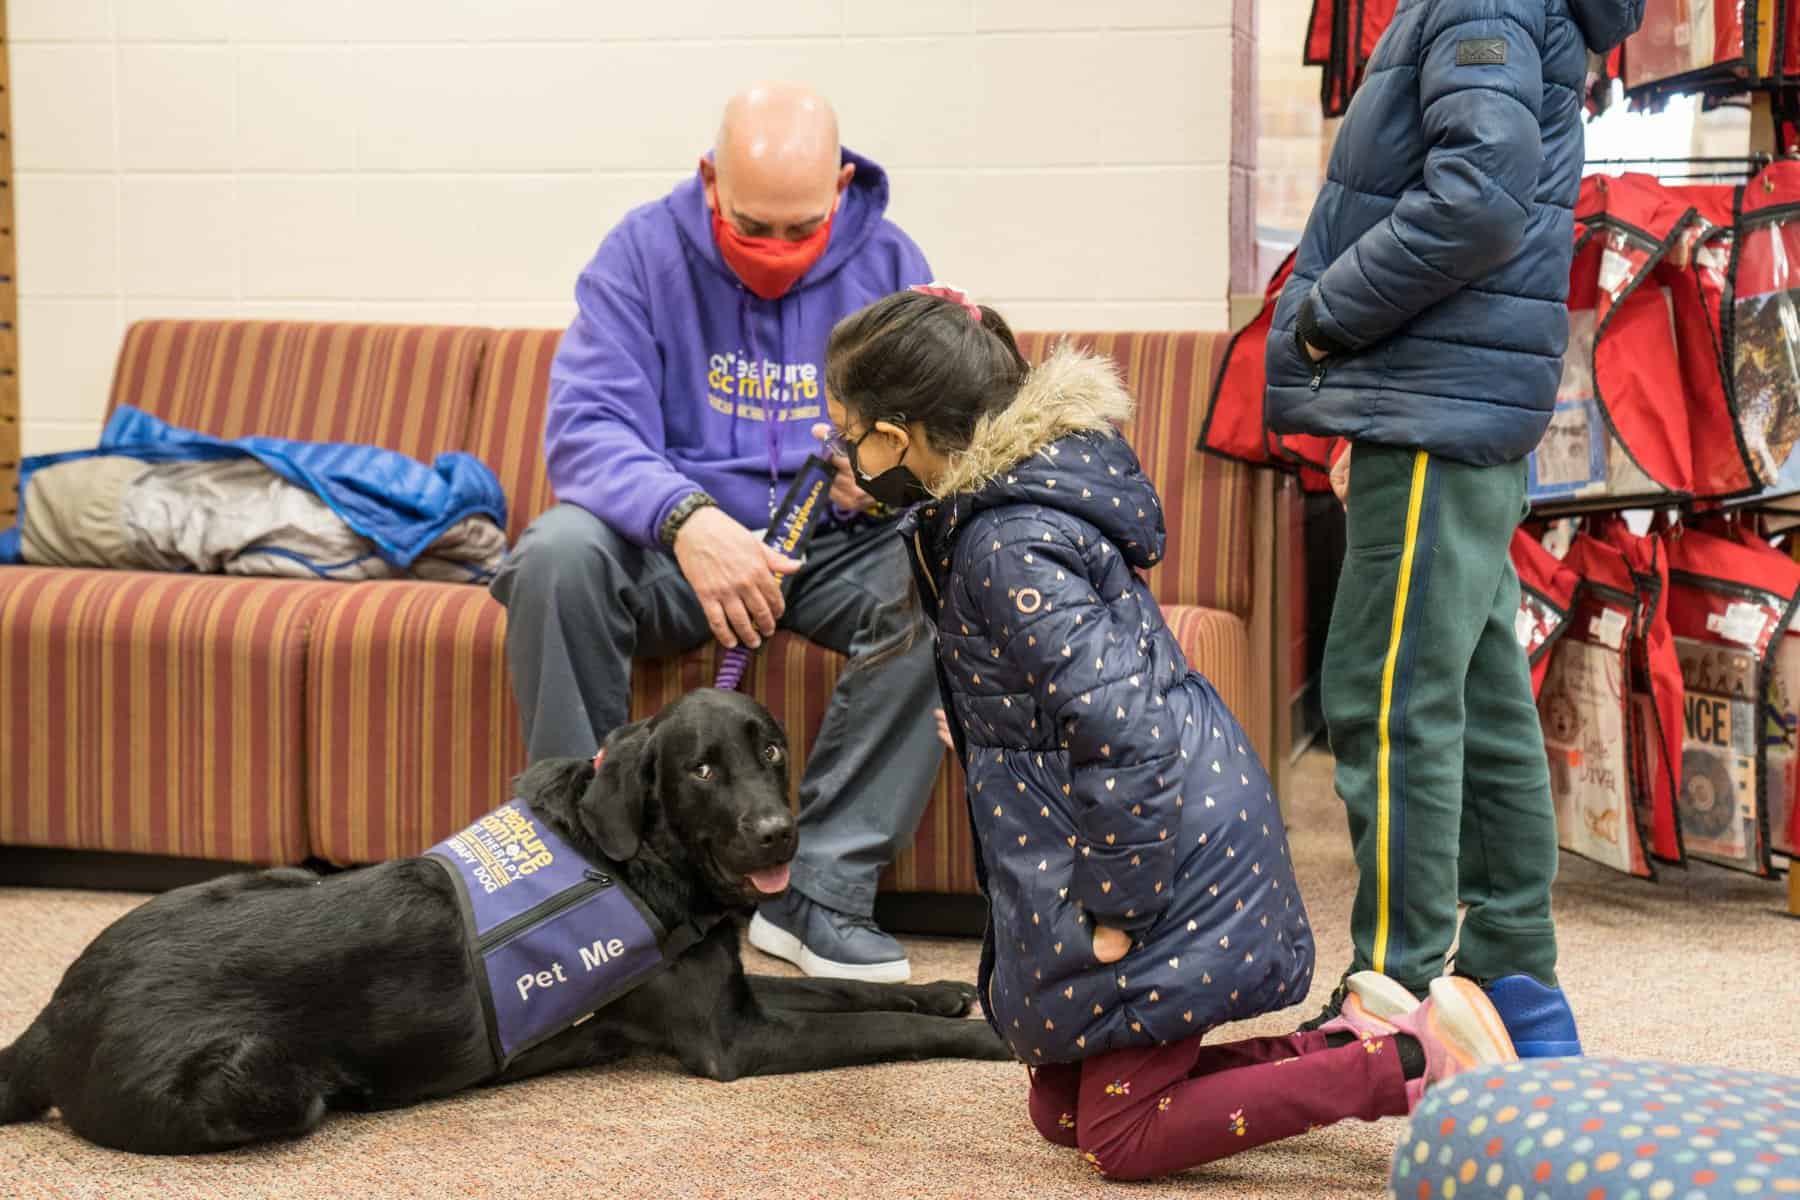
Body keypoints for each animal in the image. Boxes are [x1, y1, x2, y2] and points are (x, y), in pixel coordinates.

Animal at [0, 683, 1015, 1151]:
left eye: (769, 748)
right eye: (701, 769)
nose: (779, 833)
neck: (642, 857)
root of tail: (52, 1017)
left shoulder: (731, 991)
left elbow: (852, 991)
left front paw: (943, 989)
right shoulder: (734, 1041)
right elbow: (881, 1031)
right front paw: (990, 1040)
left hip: (273, 875)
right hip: (264, 1081)